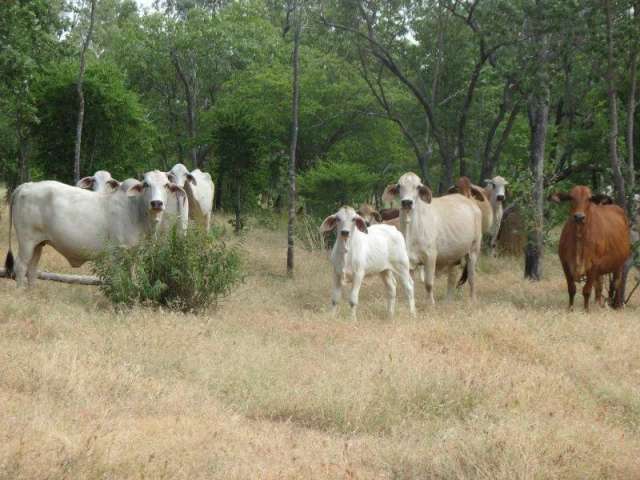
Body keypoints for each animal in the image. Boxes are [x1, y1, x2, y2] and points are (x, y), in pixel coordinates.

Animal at [4, 171, 188, 286]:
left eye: (166, 185)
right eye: (146, 184)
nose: (157, 203)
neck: (136, 211)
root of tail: (26, 186)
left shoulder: (134, 255)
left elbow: (132, 277)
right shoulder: (115, 254)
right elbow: (117, 279)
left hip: (39, 243)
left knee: (32, 269)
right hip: (26, 240)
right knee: (21, 266)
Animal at [384, 171, 480, 302]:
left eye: (418, 187)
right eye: (399, 186)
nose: (407, 202)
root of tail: (469, 201)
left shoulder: (430, 257)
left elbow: (428, 283)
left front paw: (430, 303)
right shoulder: (408, 260)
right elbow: (409, 285)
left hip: (473, 250)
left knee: (471, 277)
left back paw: (473, 299)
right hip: (453, 256)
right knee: (452, 278)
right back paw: (448, 301)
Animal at [552, 184, 632, 312]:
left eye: (589, 199)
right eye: (571, 197)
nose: (579, 217)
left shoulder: (594, 264)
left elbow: (586, 290)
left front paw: (586, 310)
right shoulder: (565, 263)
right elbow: (571, 288)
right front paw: (570, 309)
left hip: (620, 263)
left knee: (617, 283)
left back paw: (617, 305)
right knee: (599, 286)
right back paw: (598, 304)